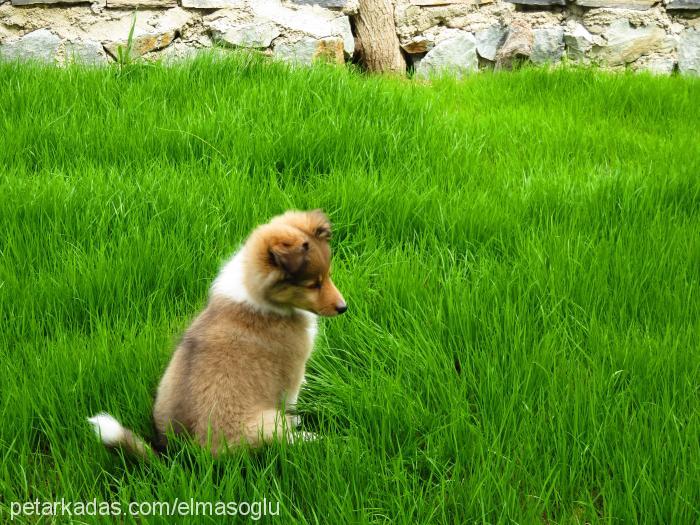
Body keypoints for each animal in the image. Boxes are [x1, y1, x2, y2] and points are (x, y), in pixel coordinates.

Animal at [89, 209, 346, 454]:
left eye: (328, 275)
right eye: (312, 284)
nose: (344, 308)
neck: (255, 293)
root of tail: (181, 451)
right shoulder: (292, 371)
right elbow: (292, 400)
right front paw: (298, 416)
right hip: (265, 423)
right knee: (284, 438)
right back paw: (313, 438)